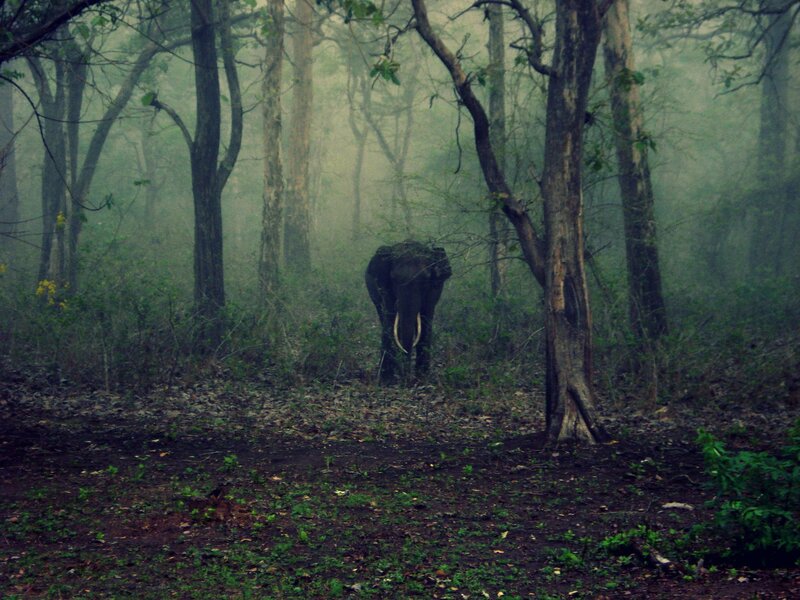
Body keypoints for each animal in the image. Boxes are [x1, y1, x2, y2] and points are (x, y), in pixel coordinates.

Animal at [365, 240, 452, 384]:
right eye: (393, 279)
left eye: (425, 280)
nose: (407, 379)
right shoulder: (384, 287)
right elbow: (390, 320)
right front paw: (387, 380)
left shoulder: (435, 288)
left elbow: (426, 320)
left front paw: (422, 378)